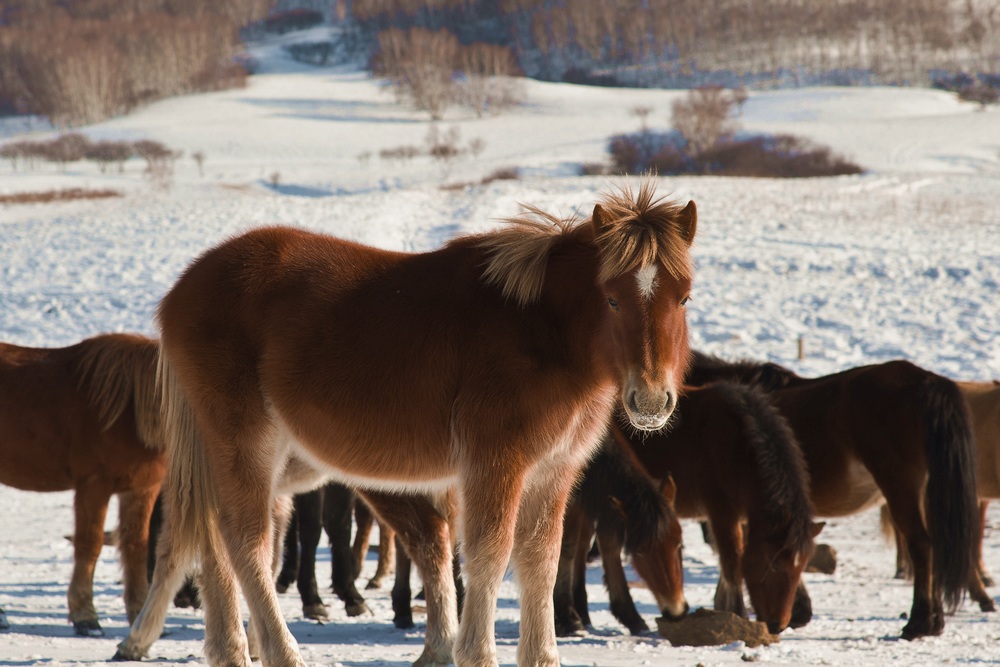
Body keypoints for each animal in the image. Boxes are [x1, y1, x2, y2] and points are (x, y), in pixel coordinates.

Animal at [0, 334, 166, 636]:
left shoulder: (141, 489)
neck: (131, 406)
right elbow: (90, 544)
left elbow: (135, 545)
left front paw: (137, 615)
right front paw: (85, 616)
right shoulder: (94, 485)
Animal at [115, 181, 696, 667]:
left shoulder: (553, 473)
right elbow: (488, 556)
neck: (539, 330)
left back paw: (232, 651)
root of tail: (183, 289)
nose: (650, 400)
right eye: (612, 297)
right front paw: (475, 654)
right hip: (246, 445)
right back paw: (278, 652)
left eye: (684, 296)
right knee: (246, 545)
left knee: (211, 542)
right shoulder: (495, 465)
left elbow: (539, 561)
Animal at [600, 384, 820, 636]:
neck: (739, 449)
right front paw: (736, 614)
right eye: (774, 565)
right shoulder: (721, 513)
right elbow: (732, 561)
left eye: (802, 567)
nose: (778, 625)